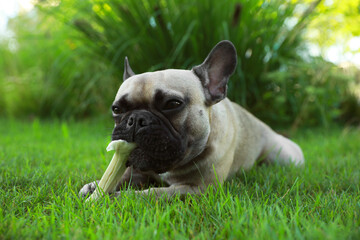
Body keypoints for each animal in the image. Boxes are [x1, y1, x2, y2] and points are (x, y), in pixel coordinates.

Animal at [79, 40, 304, 199]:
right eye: (116, 109)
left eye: (172, 104)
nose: (135, 119)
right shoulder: (137, 169)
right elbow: (121, 176)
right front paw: (95, 186)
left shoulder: (198, 189)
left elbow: (153, 194)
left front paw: (116, 197)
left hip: (281, 157)